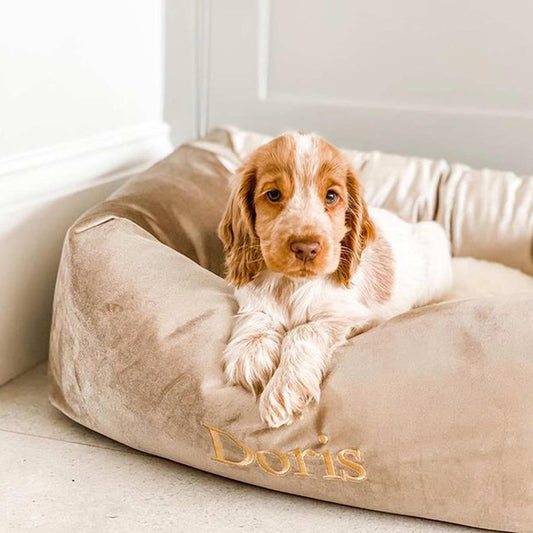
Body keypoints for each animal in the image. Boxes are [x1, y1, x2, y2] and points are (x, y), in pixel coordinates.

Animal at [218, 132, 450, 428]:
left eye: (331, 196)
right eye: (273, 194)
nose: (306, 248)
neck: (291, 284)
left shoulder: (345, 315)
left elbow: (303, 331)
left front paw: (283, 389)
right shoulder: (251, 297)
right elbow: (257, 316)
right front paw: (250, 354)